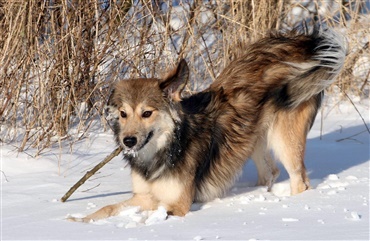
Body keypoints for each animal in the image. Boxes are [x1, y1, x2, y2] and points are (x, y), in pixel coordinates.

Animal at [70, 28, 346, 222]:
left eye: (147, 113)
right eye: (123, 113)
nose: (128, 141)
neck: (164, 149)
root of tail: (300, 44)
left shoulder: (179, 204)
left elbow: (151, 218)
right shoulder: (144, 195)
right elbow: (108, 207)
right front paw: (78, 220)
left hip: (284, 138)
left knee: (300, 181)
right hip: (252, 140)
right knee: (271, 173)